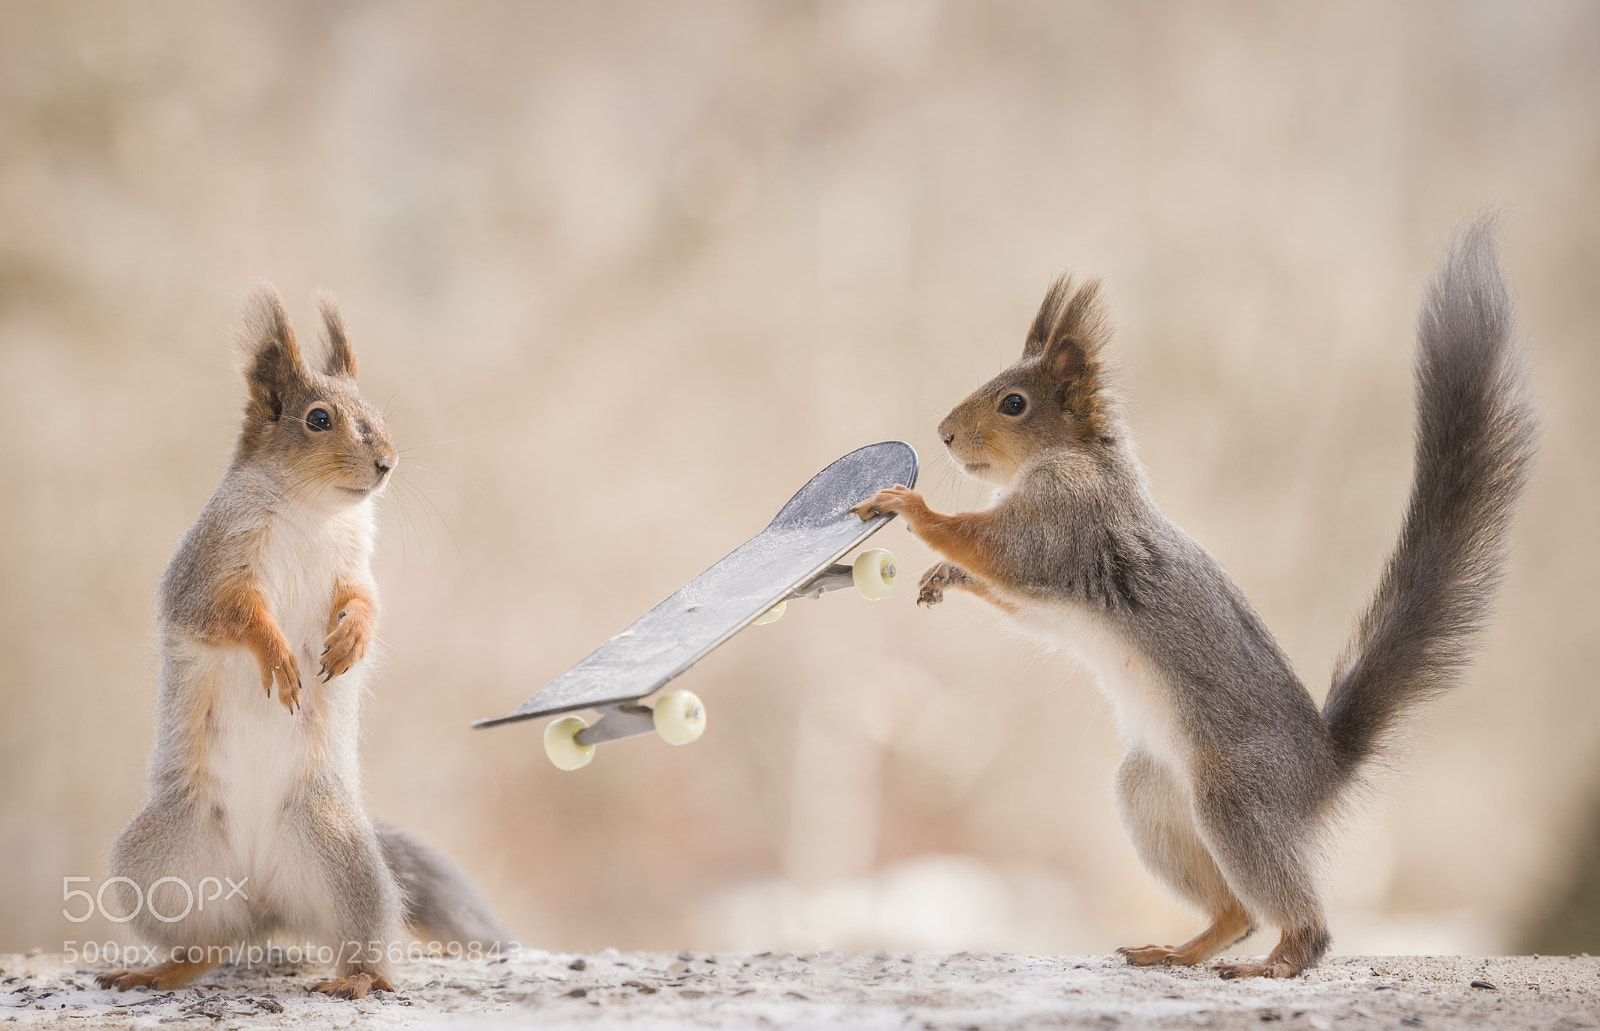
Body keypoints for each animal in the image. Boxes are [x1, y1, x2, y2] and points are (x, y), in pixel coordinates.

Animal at [96, 288, 509, 1000]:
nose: (387, 464)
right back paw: (163, 967)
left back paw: (358, 979)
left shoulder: (354, 567)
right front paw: (279, 655)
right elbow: (231, 614)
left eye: (377, 414)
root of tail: (265, 901)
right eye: (318, 420)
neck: (314, 511)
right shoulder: (207, 572)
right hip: (161, 862)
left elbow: (367, 602)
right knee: (208, 942)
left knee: (361, 944)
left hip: (342, 856)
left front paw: (351, 641)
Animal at [852, 217, 1537, 979]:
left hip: (1235, 798)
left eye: (1013, 403)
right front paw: (945, 578)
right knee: (1236, 912)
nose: (943, 433)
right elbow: (1015, 596)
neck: (1080, 459)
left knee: (1296, 918)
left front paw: (912, 507)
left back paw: (1279, 959)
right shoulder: (1048, 591)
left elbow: (997, 548)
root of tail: (1321, 774)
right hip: (1154, 798)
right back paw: (1178, 949)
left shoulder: (1066, 525)